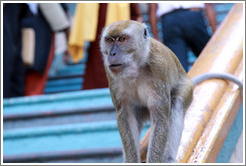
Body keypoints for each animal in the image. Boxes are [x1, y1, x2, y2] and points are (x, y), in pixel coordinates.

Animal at [99, 20, 242, 163]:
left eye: (122, 39)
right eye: (109, 40)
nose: (112, 54)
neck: (136, 68)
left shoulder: (158, 67)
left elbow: (161, 119)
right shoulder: (110, 71)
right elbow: (126, 116)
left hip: (186, 89)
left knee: (176, 105)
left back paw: (168, 158)